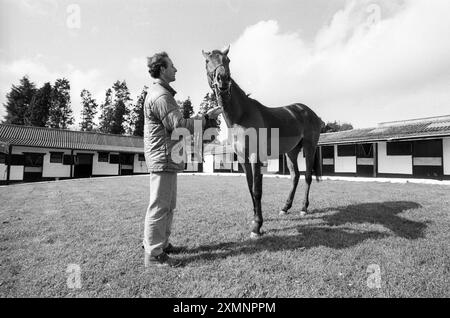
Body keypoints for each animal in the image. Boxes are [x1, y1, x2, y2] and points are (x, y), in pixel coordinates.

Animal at [202, 46, 322, 237]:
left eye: (228, 60)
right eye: (207, 61)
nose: (223, 80)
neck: (241, 115)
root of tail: (310, 112)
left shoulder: (254, 156)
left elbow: (257, 190)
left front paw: (257, 226)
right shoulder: (242, 159)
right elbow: (250, 187)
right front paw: (254, 218)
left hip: (309, 148)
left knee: (308, 176)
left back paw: (303, 208)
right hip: (291, 152)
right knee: (295, 176)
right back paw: (285, 207)